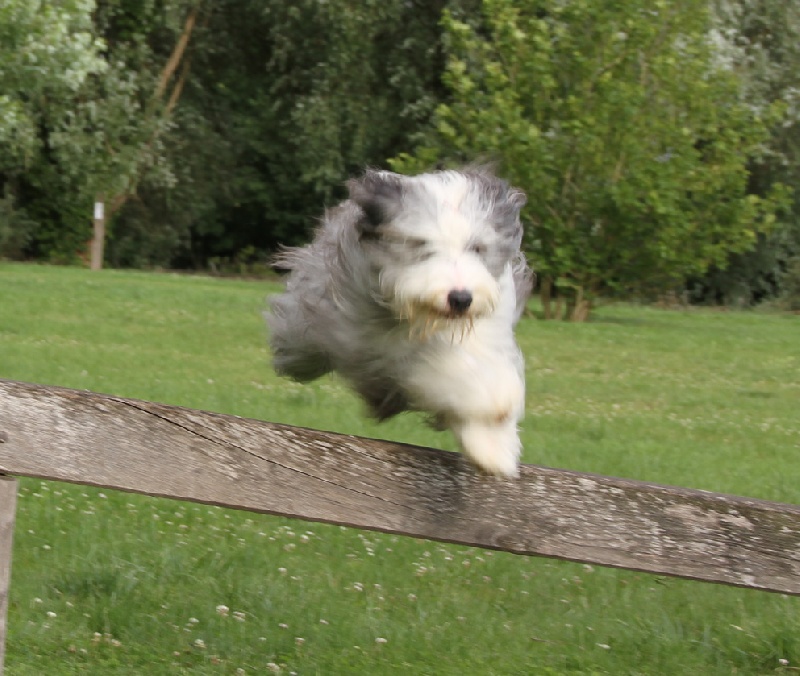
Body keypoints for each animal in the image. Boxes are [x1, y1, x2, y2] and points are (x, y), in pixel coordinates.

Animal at [266, 167, 536, 478]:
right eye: (421, 245)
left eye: (477, 248)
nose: (460, 298)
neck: (428, 324)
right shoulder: (377, 343)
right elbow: (452, 375)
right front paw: (489, 406)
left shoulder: (486, 331)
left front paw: (494, 447)